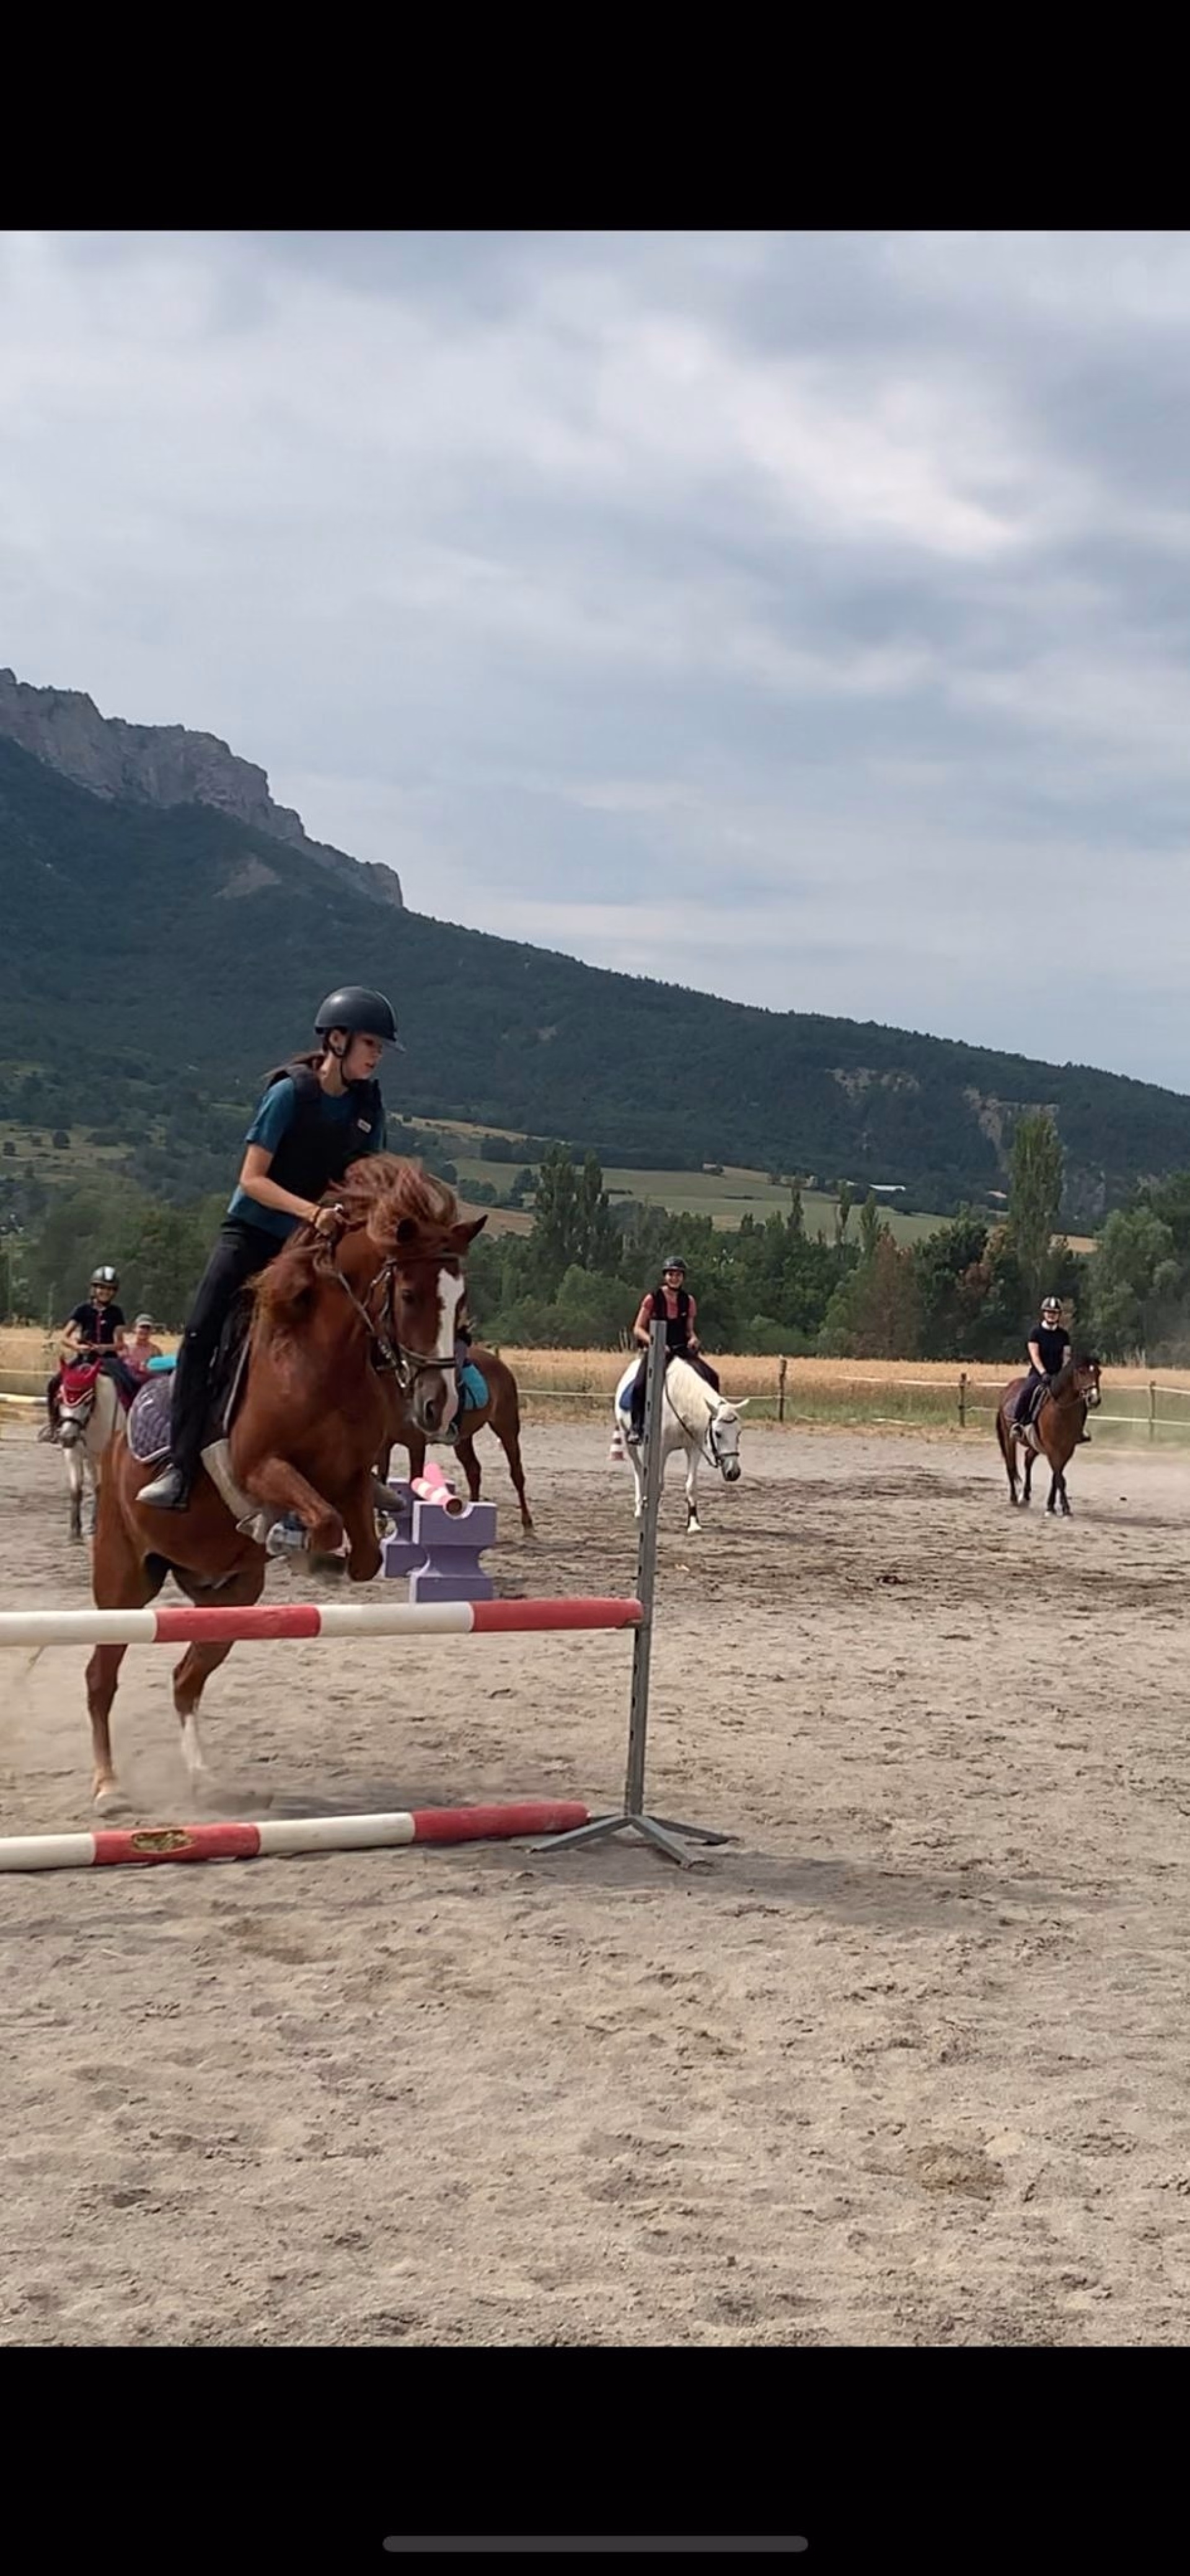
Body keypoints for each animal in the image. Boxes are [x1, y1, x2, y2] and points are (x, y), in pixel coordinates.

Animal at [85, 1157, 485, 1806]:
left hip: (233, 1594)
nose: (439, 1405)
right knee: (102, 1674)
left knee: (186, 1676)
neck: (326, 1359)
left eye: (461, 1299)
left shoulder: (349, 1476)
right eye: (408, 1294)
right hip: (123, 1577)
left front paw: (313, 1551)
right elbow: (318, 1519)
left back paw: (203, 1776)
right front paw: (296, 1543)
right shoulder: (259, 1465)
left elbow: (364, 1549)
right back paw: (108, 1784)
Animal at [379, 1341, 534, 1531]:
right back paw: (474, 1510)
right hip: (463, 1439)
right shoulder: (385, 1445)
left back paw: (527, 1520)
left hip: (507, 1428)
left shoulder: (416, 1445)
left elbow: (415, 1481)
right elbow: (382, 1479)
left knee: (516, 1473)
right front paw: (380, 1523)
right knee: (474, 1470)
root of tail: (501, 1365)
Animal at [610, 1350, 748, 1533]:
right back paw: (640, 1510)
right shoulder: (661, 1449)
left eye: (739, 1433)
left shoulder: (694, 1448)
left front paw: (694, 1524)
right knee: (638, 1470)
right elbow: (657, 1485)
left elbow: (691, 1485)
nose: (733, 1473)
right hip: (627, 1438)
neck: (683, 1403)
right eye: (718, 1434)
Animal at [995, 1353, 1102, 1515]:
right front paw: (1066, 1509)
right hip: (1009, 1439)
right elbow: (1060, 1479)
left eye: (1098, 1373)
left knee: (1028, 1459)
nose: (1094, 1399)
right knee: (1011, 1465)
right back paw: (1014, 1498)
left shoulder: (1067, 1449)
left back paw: (1026, 1496)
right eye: (1081, 1372)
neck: (1061, 1410)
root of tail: (1008, 1389)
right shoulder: (1053, 1449)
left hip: (1036, 1444)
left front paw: (1051, 1507)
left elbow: (1056, 1477)